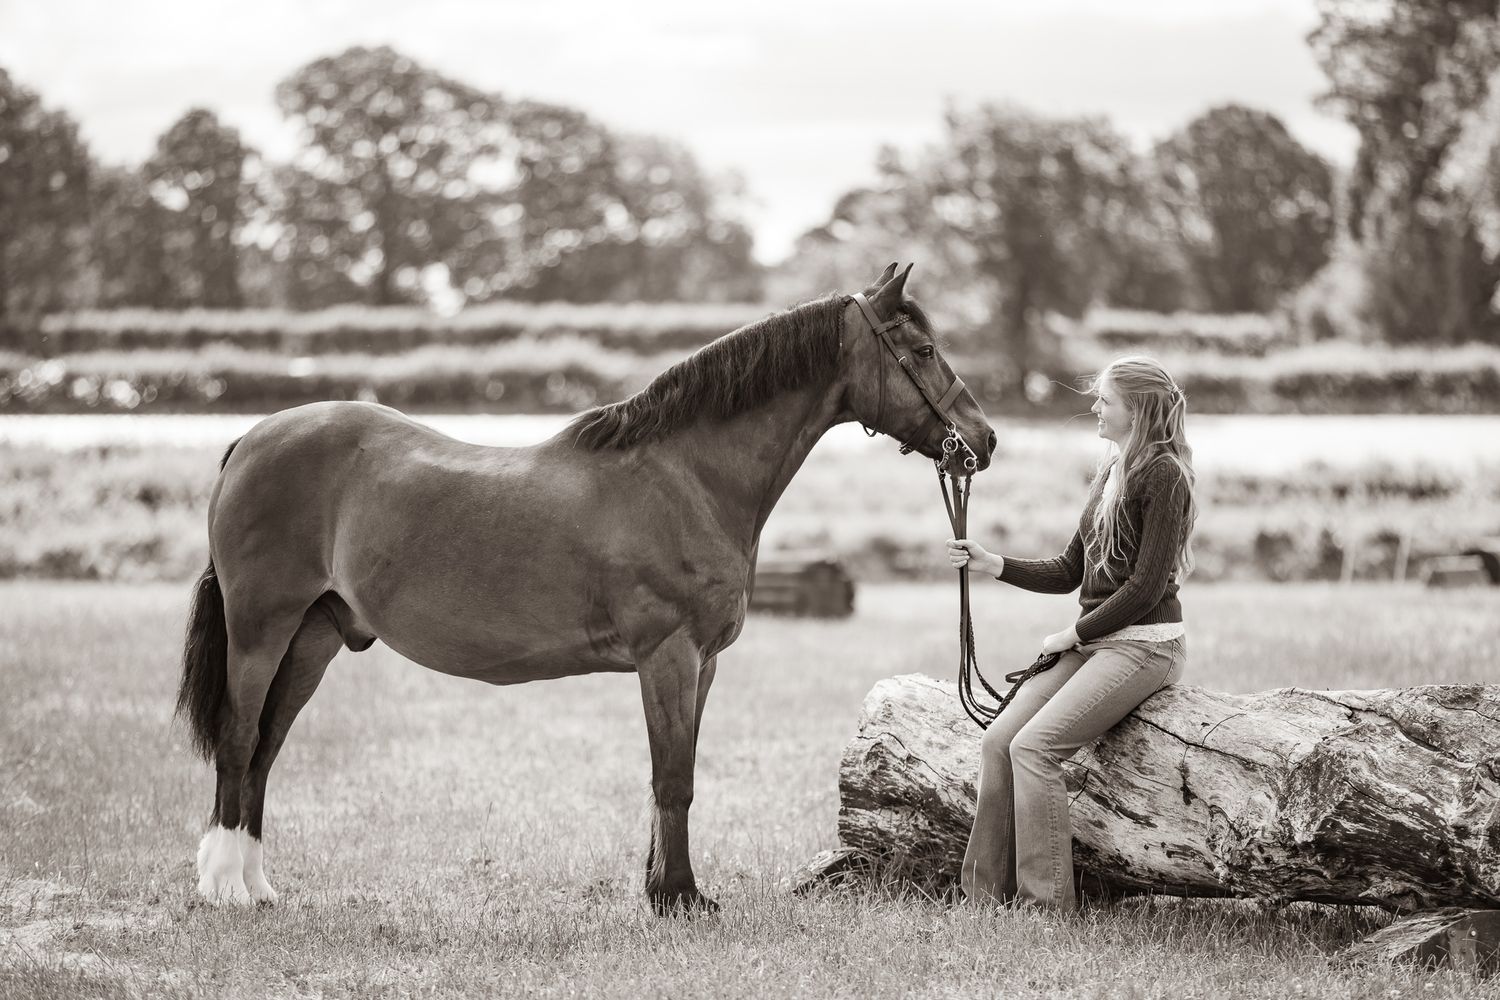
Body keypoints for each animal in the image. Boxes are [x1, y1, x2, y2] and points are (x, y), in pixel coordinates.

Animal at [176, 262, 996, 914]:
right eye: (923, 350)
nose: (981, 441)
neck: (686, 478)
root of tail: (250, 440)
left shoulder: (703, 663)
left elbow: (674, 772)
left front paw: (666, 888)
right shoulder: (668, 656)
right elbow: (674, 779)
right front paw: (679, 900)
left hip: (313, 637)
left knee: (267, 748)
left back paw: (256, 885)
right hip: (261, 629)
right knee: (241, 739)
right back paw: (222, 889)